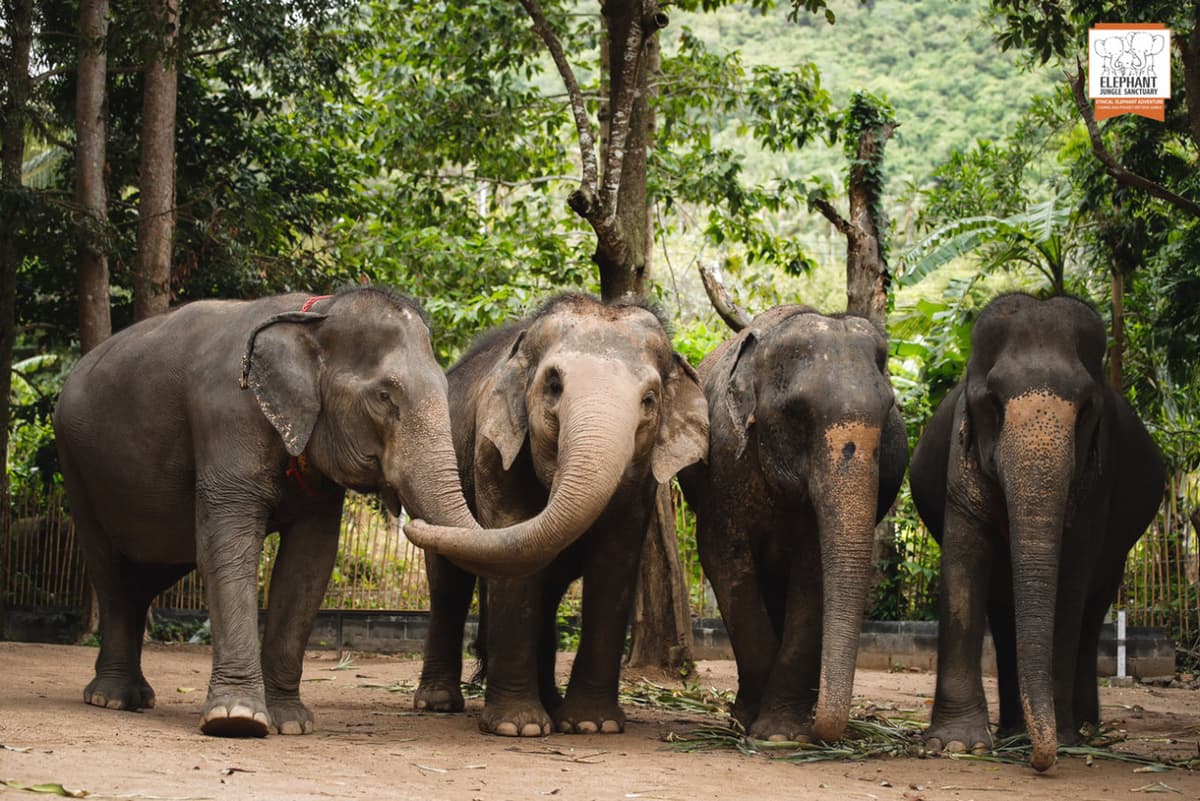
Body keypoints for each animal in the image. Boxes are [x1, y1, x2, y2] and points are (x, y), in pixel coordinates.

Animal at [53, 287, 504, 737]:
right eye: (383, 396)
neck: (313, 317)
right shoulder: (228, 417)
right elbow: (228, 548)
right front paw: (236, 720)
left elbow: (309, 564)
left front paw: (290, 722)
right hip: (77, 466)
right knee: (109, 569)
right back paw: (113, 698)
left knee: (147, 575)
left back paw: (134, 695)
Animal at [404, 293, 708, 737]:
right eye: (553, 385)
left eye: (650, 400)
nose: (412, 524)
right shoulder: (492, 450)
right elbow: (512, 539)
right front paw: (518, 728)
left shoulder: (643, 485)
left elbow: (614, 564)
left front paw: (592, 725)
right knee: (449, 586)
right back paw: (438, 704)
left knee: (544, 594)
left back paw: (551, 701)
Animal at [677, 305, 907, 743]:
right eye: (798, 415)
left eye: (889, 414)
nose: (821, 734)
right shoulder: (726, 466)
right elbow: (724, 559)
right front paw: (750, 723)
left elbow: (814, 573)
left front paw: (782, 733)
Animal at [909, 293, 1165, 772]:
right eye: (993, 402)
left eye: (1086, 408)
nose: (1040, 761)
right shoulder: (960, 458)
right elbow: (963, 565)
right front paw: (956, 746)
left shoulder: (1097, 478)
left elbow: (1071, 578)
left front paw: (1060, 739)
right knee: (1002, 610)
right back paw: (1014, 731)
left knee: (1093, 607)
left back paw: (1081, 728)